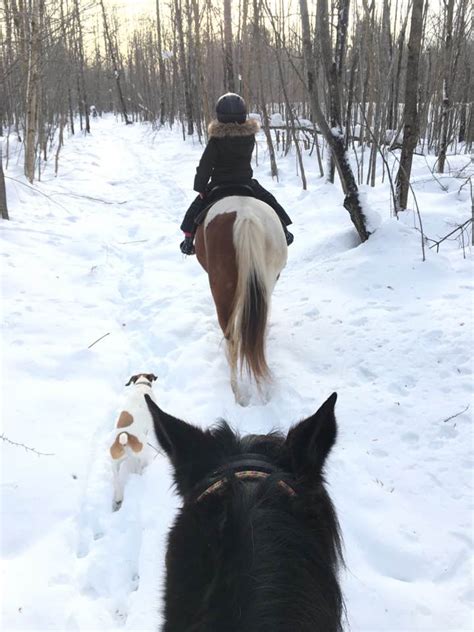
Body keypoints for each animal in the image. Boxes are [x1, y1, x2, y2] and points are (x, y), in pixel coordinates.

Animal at [194, 195, 286, 402]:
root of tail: (246, 216)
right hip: (266, 282)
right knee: (256, 334)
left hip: (222, 291)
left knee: (233, 339)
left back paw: (236, 392)